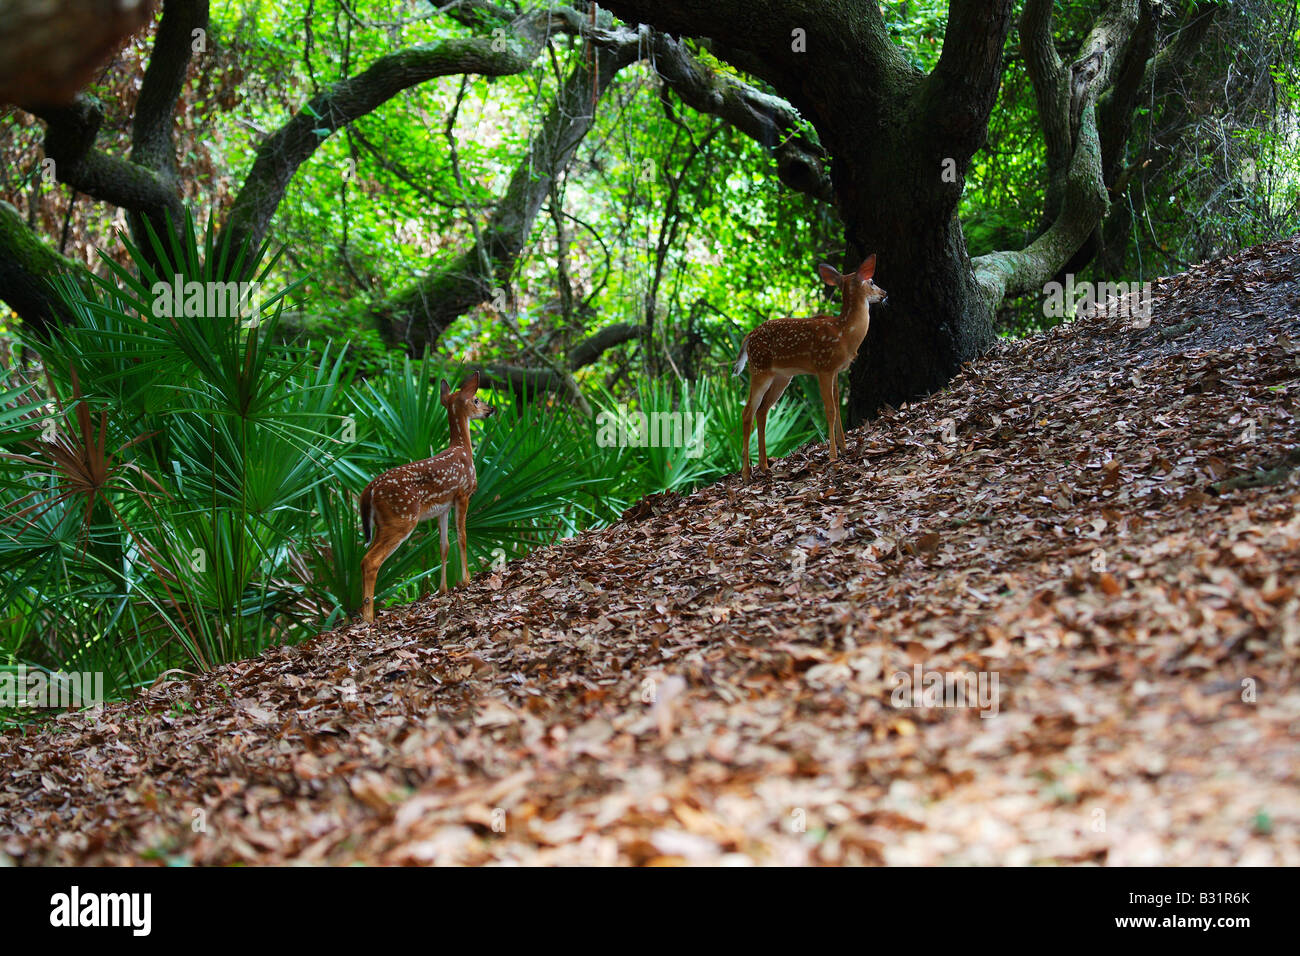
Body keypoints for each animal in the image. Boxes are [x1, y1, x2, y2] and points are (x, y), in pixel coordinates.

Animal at [358, 372, 496, 623]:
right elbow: (462, 536)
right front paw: (466, 581)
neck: (463, 449)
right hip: (401, 518)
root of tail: (369, 490)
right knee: (370, 561)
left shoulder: (443, 507)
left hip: (382, 524)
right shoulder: (463, 493)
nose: (491, 409)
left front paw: (442, 589)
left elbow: (444, 545)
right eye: (476, 399)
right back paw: (368, 617)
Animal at [733, 255, 887, 481]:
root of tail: (748, 337)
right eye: (873, 281)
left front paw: (844, 447)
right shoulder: (824, 367)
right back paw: (746, 473)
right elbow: (830, 409)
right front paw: (833, 455)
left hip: (782, 377)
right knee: (747, 412)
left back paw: (764, 466)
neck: (845, 333)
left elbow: (838, 408)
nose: (885, 294)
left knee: (762, 411)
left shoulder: (836, 371)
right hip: (760, 370)